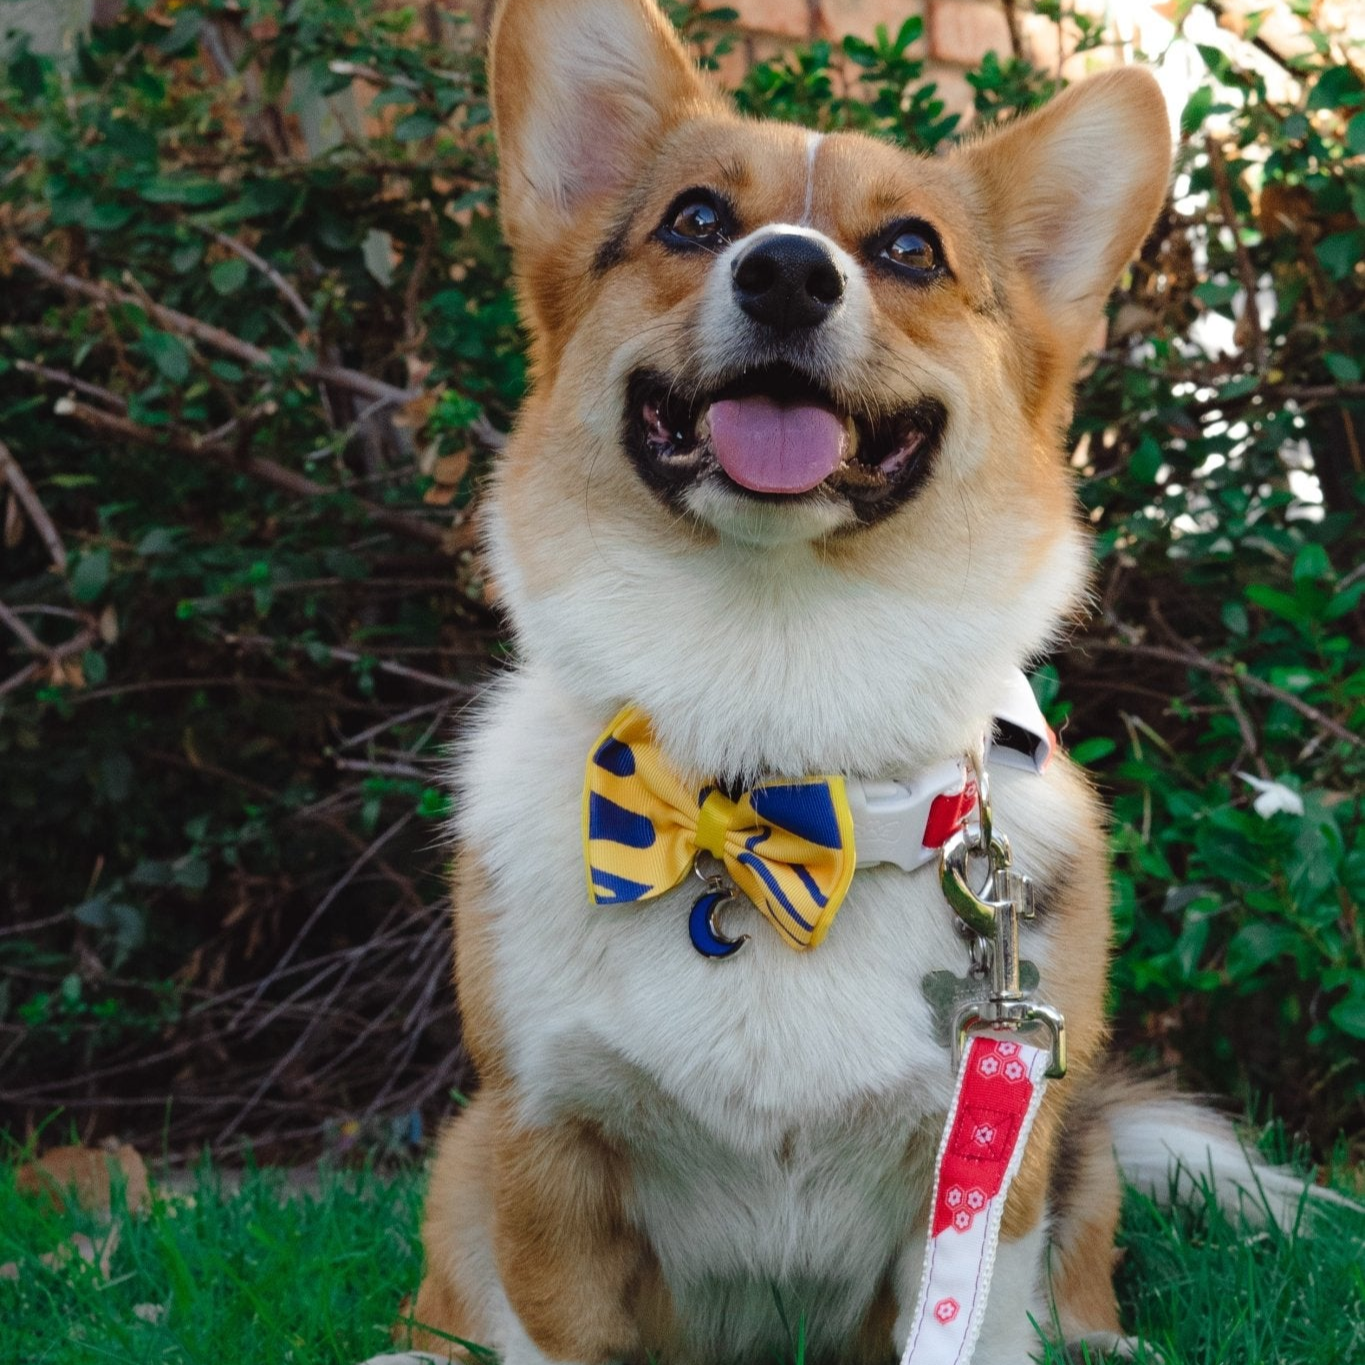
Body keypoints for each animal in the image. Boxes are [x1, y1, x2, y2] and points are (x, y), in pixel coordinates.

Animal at [368, 2, 1326, 1365]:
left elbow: (980, 1316)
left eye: (911, 248)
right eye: (696, 220)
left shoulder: (989, 1169)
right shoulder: (547, 1151)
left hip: (1071, 1164)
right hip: (467, 1156)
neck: (776, 762)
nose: (785, 272)